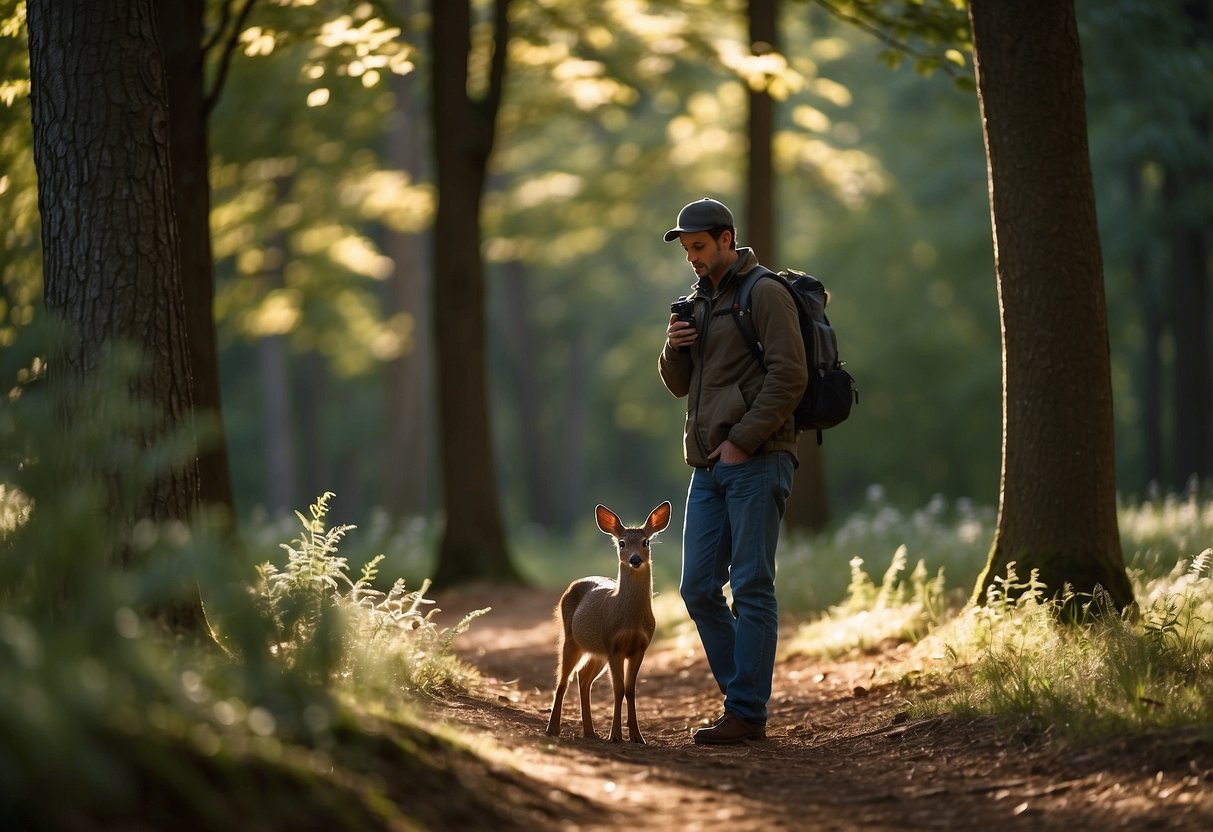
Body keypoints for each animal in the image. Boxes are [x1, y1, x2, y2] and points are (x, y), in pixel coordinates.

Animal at [548, 499, 674, 747]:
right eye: (622, 543)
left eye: (646, 542)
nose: (635, 559)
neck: (630, 620)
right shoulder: (613, 644)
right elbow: (618, 690)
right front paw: (615, 735)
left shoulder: (639, 648)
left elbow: (630, 690)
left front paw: (637, 736)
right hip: (570, 637)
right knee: (563, 679)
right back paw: (553, 729)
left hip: (596, 651)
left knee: (583, 677)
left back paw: (590, 732)